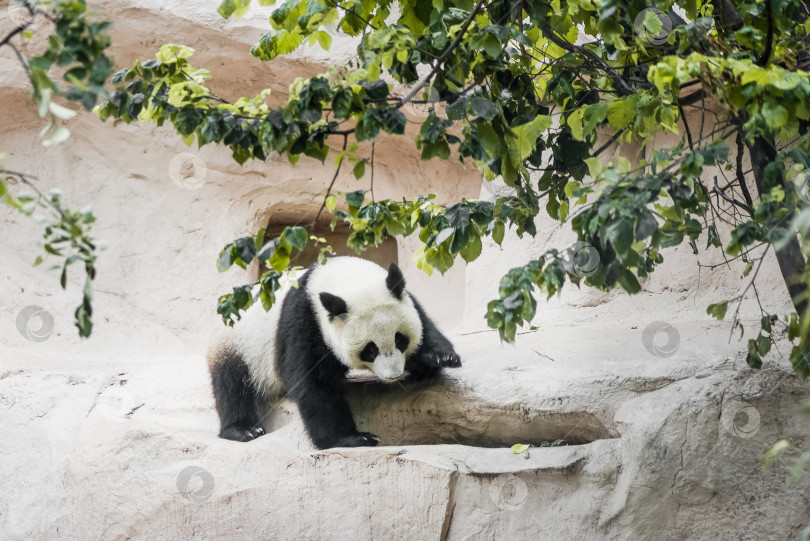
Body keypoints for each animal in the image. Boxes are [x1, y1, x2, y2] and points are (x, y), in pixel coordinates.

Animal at [207, 256, 460, 448]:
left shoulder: (404, 298)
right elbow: (314, 383)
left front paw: (440, 358)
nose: (394, 375)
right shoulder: (305, 321)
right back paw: (243, 430)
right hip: (238, 344)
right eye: (370, 350)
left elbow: (425, 326)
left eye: (400, 339)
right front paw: (351, 438)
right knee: (232, 385)